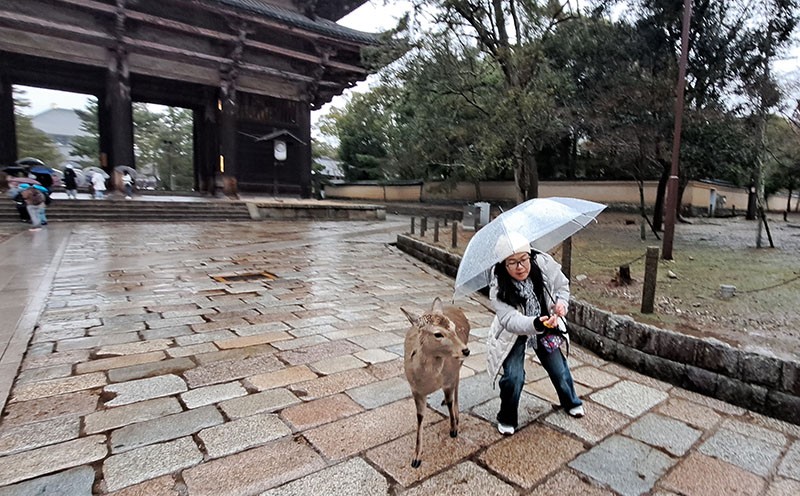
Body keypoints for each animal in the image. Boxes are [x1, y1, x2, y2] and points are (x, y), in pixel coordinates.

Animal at [400, 298, 468, 468]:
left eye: (453, 327)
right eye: (438, 334)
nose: (466, 350)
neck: (429, 382)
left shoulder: (449, 380)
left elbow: (451, 401)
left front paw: (454, 429)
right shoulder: (416, 390)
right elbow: (420, 417)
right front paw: (416, 458)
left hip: (458, 366)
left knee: (458, 384)